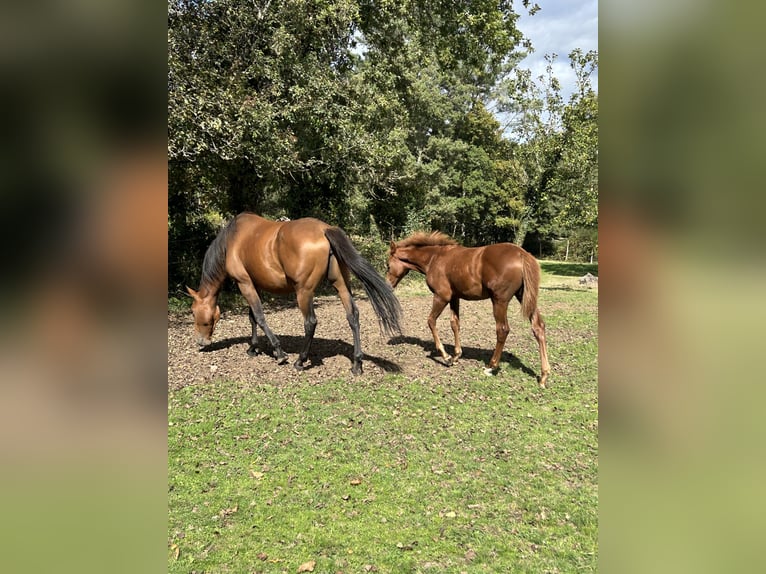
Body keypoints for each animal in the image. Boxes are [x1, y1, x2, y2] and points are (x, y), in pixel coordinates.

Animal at [188, 214, 402, 376]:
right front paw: (253, 348)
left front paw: (279, 352)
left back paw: (300, 360)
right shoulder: (254, 285)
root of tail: (324, 229)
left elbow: (259, 317)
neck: (233, 240)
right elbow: (252, 318)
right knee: (353, 316)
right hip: (341, 285)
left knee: (310, 322)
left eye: (193, 311)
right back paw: (357, 364)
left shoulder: (245, 284)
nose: (201, 341)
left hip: (304, 292)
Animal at [390, 232, 552, 390]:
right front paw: (456, 355)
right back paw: (544, 376)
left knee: (502, 329)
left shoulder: (442, 296)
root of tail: (522, 254)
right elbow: (454, 323)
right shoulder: (454, 297)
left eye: (388, 265)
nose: (389, 284)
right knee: (538, 327)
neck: (434, 258)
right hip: (525, 297)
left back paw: (491, 366)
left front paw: (446, 357)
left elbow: (431, 321)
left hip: (499, 301)